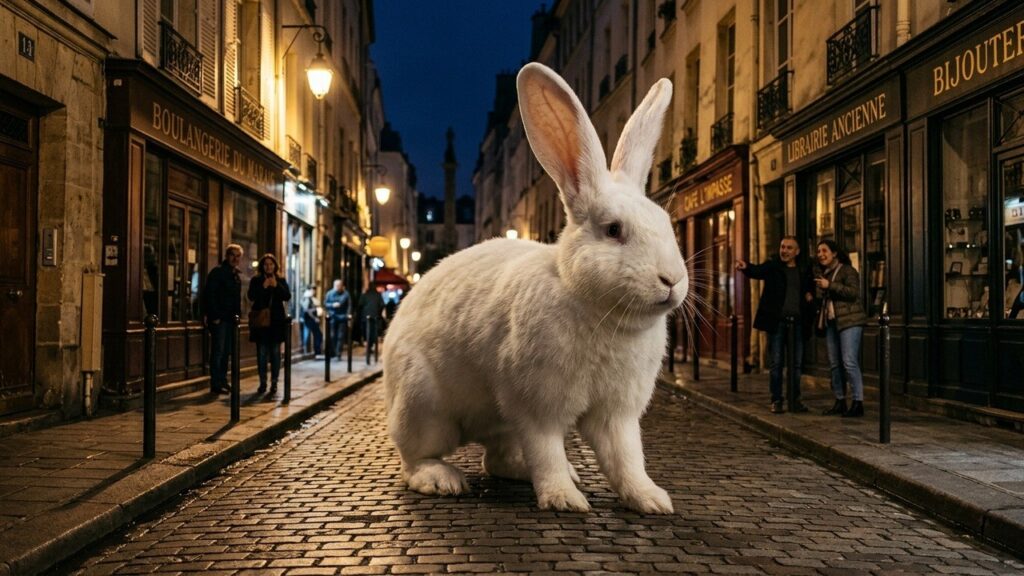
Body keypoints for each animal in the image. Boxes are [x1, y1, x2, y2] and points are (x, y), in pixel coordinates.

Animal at [383, 62, 687, 514]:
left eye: (667, 225)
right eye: (613, 230)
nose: (672, 280)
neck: (598, 309)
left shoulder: (617, 415)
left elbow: (626, 458)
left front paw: (650, 500)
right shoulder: (537, 408)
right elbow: (547, 452)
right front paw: (564, 500)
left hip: (496, 421)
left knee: (496, 458)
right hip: (425, 407)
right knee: (414, 457)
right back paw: (442, 479)